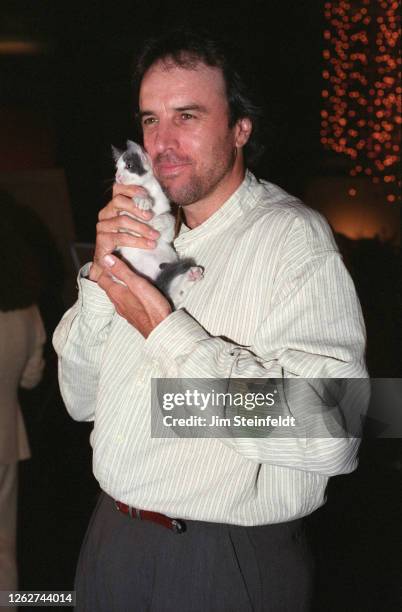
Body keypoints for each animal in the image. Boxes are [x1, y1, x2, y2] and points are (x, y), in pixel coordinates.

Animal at [111, 141, 203, 308]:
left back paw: (190, 276)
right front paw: (142, 198)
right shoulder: (123, 223)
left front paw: (158, 221)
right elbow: (126, 218)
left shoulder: (168, 235)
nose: (117, 177)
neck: (150, 188)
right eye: (116, 168)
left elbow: (169, 219)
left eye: (128, 165)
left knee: (173, 295)